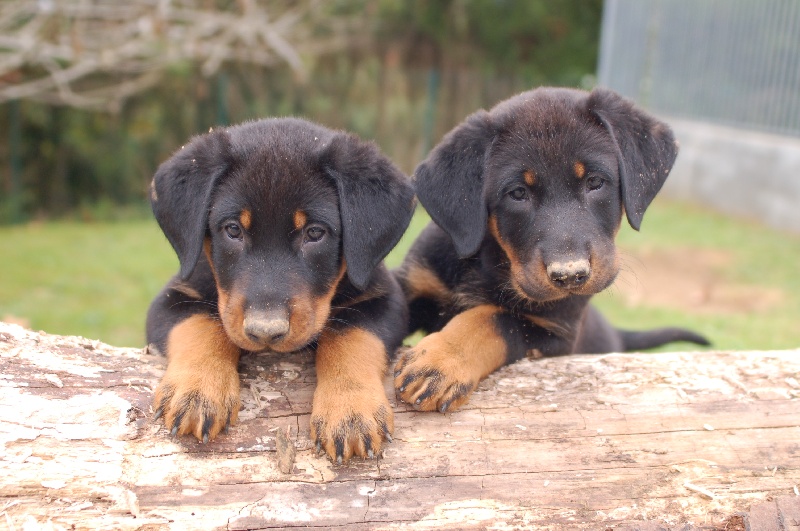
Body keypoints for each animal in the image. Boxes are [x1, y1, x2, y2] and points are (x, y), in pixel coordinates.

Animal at [145, 118, 418, 464]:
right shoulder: (173, 295)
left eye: (314, 233)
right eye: (233, 230)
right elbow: (200, 323)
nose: (265, 332)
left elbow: (353, 334)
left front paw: (350, 410)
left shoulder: (385, 297)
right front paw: (197, 390)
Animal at [394, 87, 708, 414]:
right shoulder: (413, 282)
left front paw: (441, 360)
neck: (492, 265)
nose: (570, 275)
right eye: (518, 193)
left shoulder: (555, 332)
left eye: (596, 182)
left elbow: (493, 319)